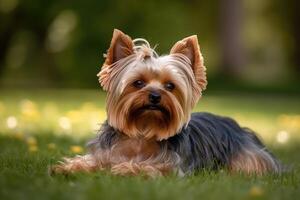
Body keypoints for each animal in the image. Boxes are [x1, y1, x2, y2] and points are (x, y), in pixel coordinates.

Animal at [50, 28, 282, 177]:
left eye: (170, 86)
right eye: (138, 83)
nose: (155, 96)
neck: (143, 131)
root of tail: (237, 125)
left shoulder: (172, 166)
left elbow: (151, 167)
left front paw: (127, 168)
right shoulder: (105, 152)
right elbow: (92, 160)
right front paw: (69, 167)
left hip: (248, 159)